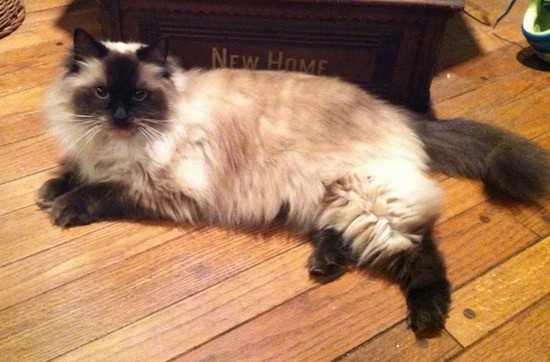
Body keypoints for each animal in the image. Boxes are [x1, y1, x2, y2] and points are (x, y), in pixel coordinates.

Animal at [40, 29, 550, 338]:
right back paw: (323, 265)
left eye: (139, 95)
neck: (118, 144)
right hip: (333, 197)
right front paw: (48, 191)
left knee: (418, 251)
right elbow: (78, 173)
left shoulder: (157, 187)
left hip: (366, 197)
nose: (120, 116)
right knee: (340, 236)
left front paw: (62, 207)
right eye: (101, 93)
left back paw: (426, 318)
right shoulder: (100, 157)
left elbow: (101, 191)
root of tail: (401, 113)